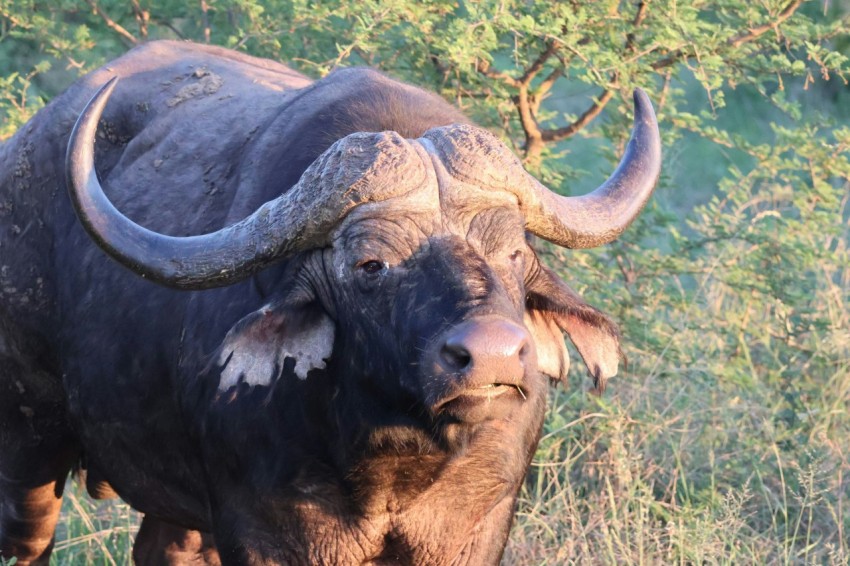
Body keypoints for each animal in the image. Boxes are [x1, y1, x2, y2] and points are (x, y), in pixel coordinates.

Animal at [0, 38, 656, 564]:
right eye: (371, 264)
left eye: (514, 253)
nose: (492, 355)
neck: (394, 459)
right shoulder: (268, 532)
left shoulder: (477, 525)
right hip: (29, 447)